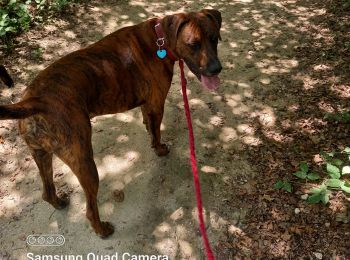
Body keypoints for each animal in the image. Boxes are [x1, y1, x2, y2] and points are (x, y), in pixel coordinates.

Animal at [0, 9, 223, 237]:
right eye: (193, 44)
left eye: (214, 38)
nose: (217, 68)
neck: (160, 39)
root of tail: (34, 101)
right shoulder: (156, 104)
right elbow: (157, 131)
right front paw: (159, 149)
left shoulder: (147, 104)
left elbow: (149, 125)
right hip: (84, 162)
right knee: (90, 210)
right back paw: (102, 229)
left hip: (41, 155)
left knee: (47, 191)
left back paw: (59, 202)